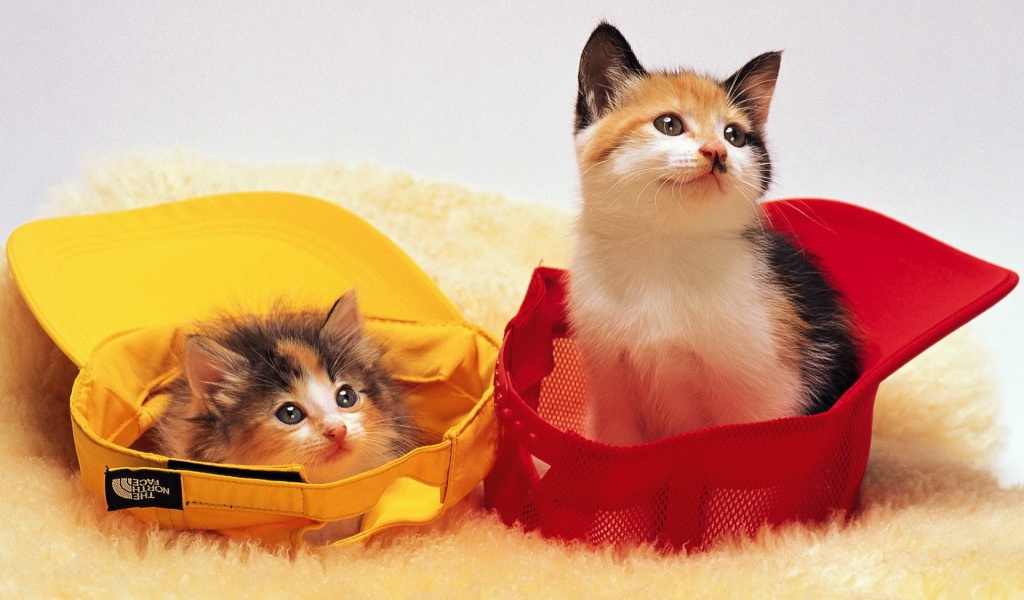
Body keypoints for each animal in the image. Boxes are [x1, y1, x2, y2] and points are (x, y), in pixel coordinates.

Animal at [565, 23, 860, 444]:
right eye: (669, 125)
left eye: (734, 135)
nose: (716, 152)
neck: (665, 248)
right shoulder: (610, 386)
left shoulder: (766, 391)